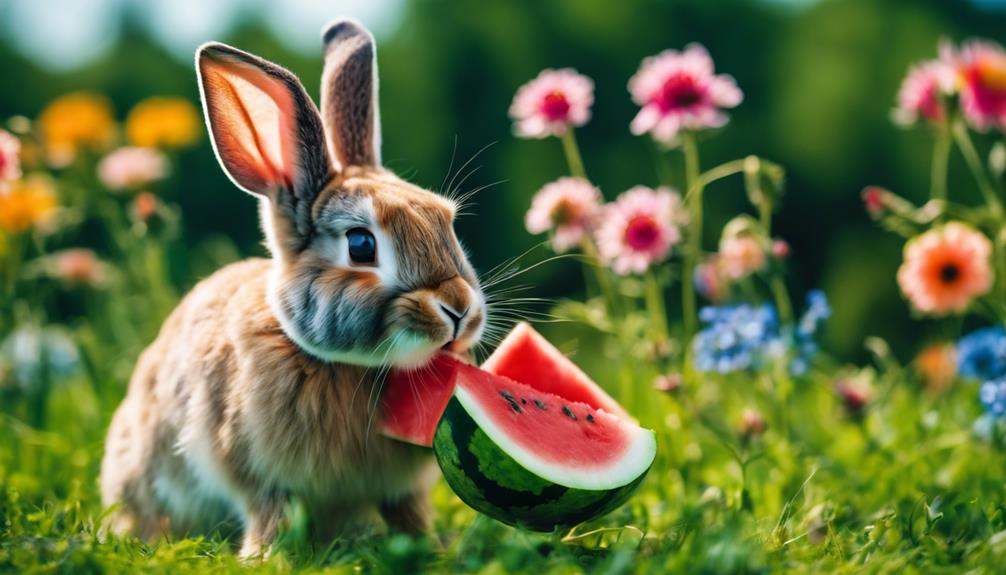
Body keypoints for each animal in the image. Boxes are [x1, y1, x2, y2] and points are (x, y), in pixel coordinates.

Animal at [99, 19, 485, 558]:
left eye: (445, 222)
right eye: (361, 245)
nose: (458, 309)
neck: (350, 368)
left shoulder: (398, 489)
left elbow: (407, 513)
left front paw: (430, 547)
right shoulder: (257, 474)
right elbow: (270, 514)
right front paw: (264, 558)